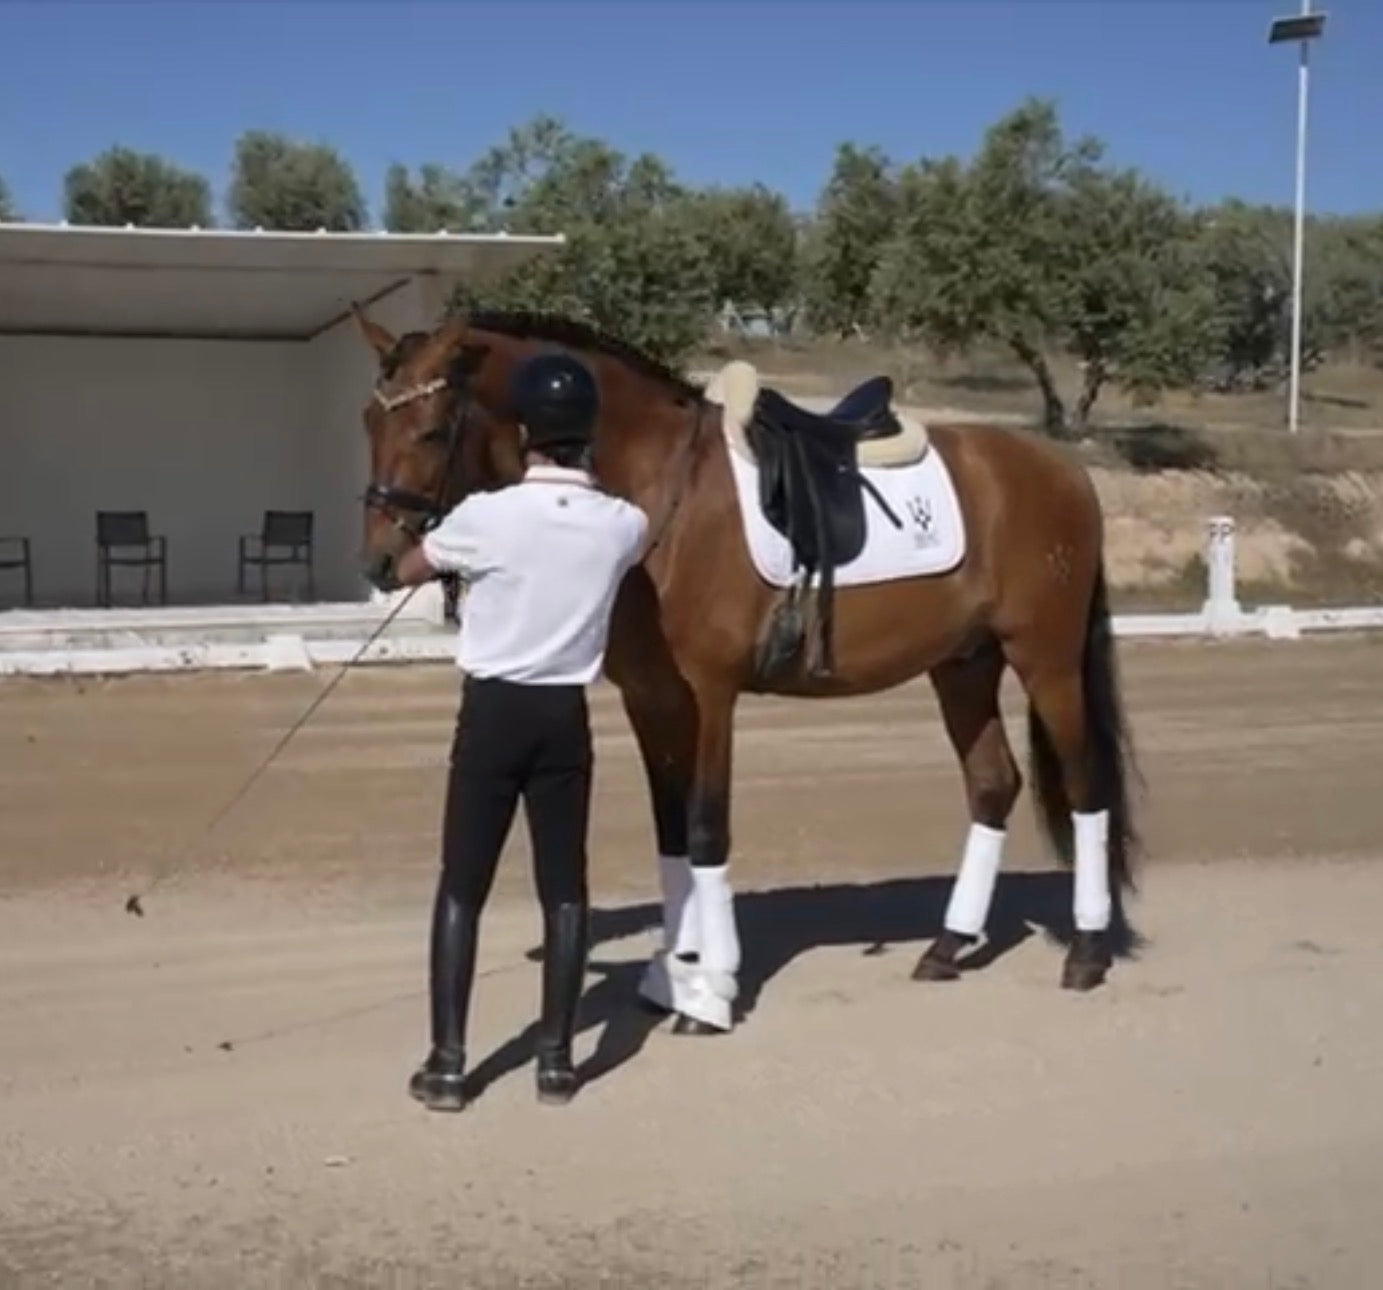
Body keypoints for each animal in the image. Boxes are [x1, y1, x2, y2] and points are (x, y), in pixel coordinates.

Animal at [352, 304, 1141, 1037]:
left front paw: (713, 991)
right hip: (963, 664)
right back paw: (947, 947)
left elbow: (707, 828)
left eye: (430, 430)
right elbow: (670, 829)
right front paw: (670, 975)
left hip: (1045, 660)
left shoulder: (710, 696)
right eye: (367, 420)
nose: (382, 562)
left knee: (1084, 786)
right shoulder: (652, 699)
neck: (661, 488)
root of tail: (1063, 471)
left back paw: (1086, 953)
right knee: (992, 783)